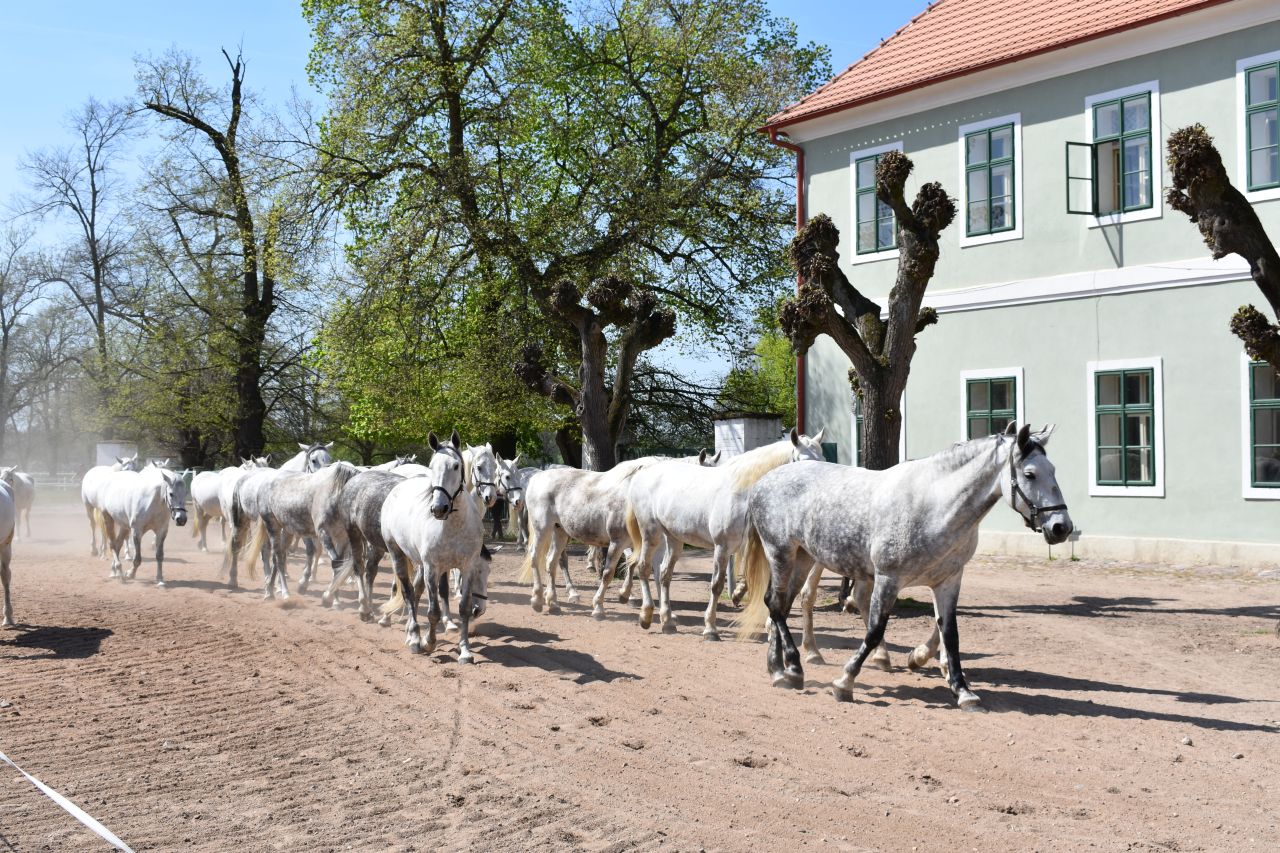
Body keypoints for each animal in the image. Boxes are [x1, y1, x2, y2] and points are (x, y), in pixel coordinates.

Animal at [378, 427, 488, 660]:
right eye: (431, 466)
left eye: (456, 466)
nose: (439, 508)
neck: (453, 526)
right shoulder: (432, 568)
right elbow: (433, 611)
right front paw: (428, 642)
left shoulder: (467, 566)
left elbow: (463, 608)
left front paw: (465, 650)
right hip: (397, 555)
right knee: (409, 593)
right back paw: (414, 637)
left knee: (416, 591)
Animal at [624, 427, 824, 635]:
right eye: (802, 461)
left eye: (823, 458)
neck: (744, 494)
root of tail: (642, 474)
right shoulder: (722, 547)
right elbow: (717, 585)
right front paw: (710, 628)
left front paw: (769, 625)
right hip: (651, 534)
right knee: (643, 568)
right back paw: (646, 615)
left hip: (673, 538)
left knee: (664, 574)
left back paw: (668, 621)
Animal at [737, 422, 1075, 706]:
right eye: (1030, 474)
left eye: (1054, 470)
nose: (1061, 527)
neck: (933, 504)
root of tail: (765, 482)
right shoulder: (889, 578)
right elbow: (875, 630)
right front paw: (845, 682)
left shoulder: (948, 581)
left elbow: (949, 634)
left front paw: (963, 690)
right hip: (781, 553)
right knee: (775, 605)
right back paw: (792, 669)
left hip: (804, 559)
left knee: (780, 605)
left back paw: (779, 670)